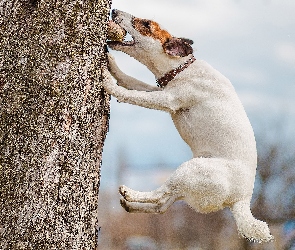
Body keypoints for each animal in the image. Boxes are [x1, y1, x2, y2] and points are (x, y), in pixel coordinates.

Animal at [103, 9, 274, 242]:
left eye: (146, 24)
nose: (114, 10)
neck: (181, 68)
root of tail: (241, 200)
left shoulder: (167, 100)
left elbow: (132, 94)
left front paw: (108, 82)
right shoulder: (159, 91)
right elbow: (131, 82)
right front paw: (112, 66)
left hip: (191, 170)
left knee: (161, 193)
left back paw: (131, 193)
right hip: (191, 184)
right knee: (162, 204)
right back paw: (131, 205)